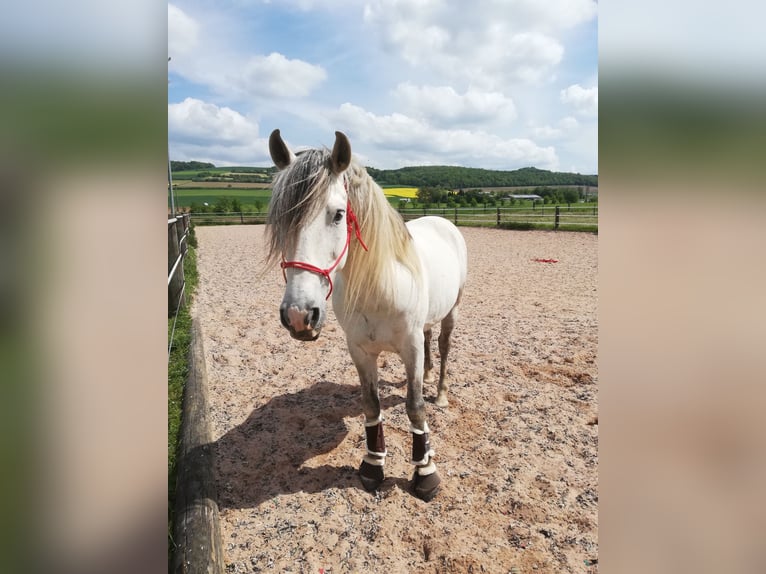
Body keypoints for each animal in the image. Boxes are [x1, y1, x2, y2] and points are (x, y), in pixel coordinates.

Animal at [266, 129, 468, 500]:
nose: (299, 315)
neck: (381, 286)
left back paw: (441, 393)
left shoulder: (410, 348)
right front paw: (373, 466)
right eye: (280, 218)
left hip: (453, 311)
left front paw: (425, 473)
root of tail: (442, 221)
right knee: (430, 339)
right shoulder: (359, 350)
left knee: (444, 347)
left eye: (338, 214)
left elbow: (415, 407)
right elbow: (371, 404)